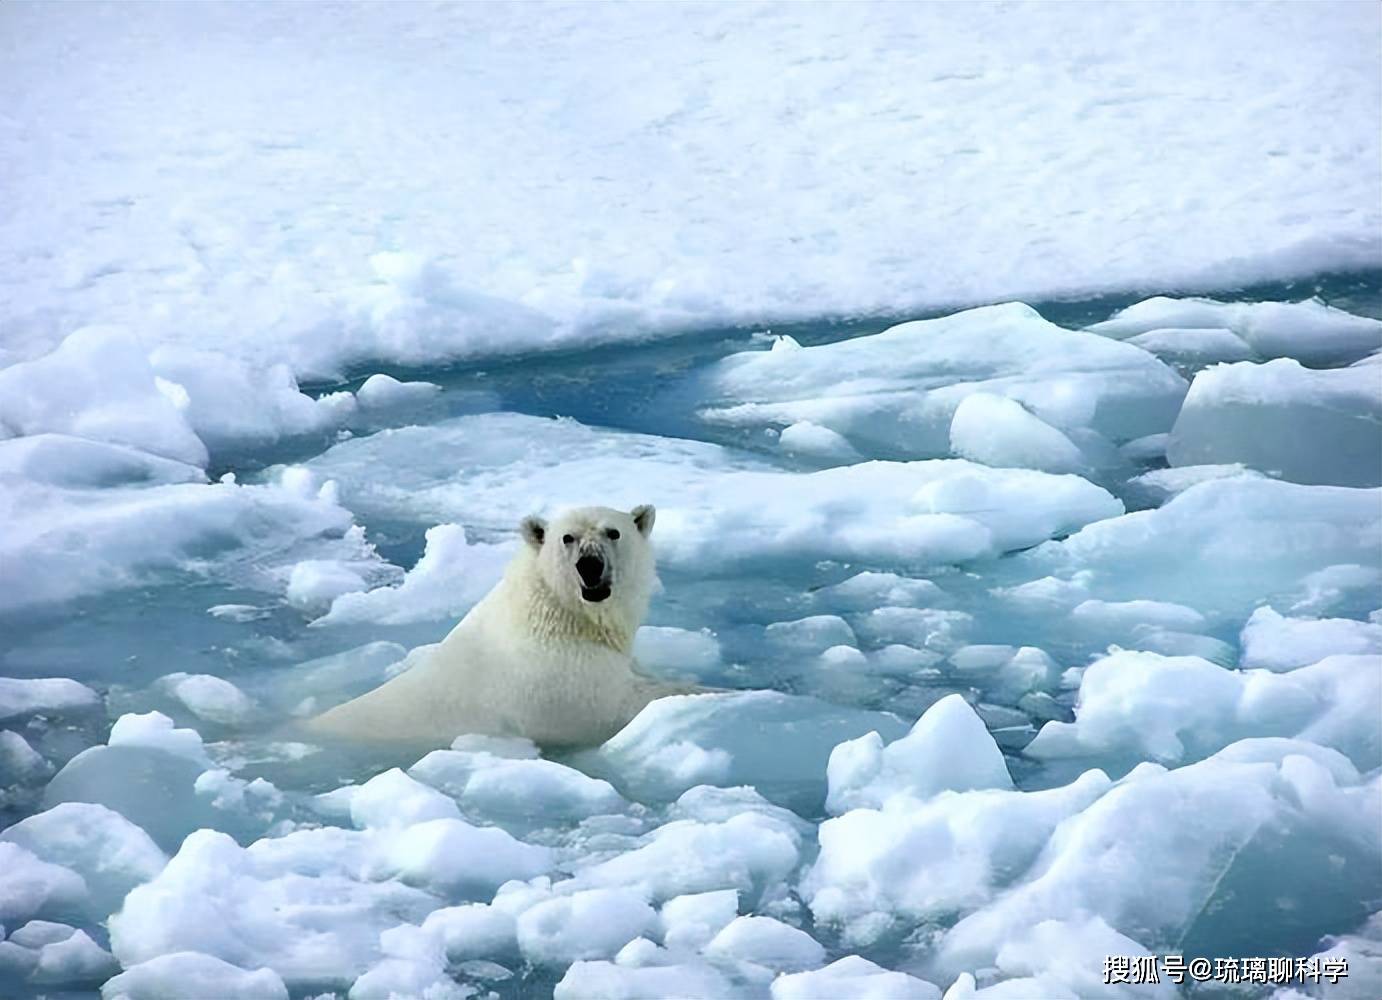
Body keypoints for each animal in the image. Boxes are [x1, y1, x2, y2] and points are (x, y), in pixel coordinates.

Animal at [308, 508, 685, 751]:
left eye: (613, 532)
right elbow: (613, 705)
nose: (589, 565)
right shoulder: (554, 678)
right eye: (567, 537)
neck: (560, 615)